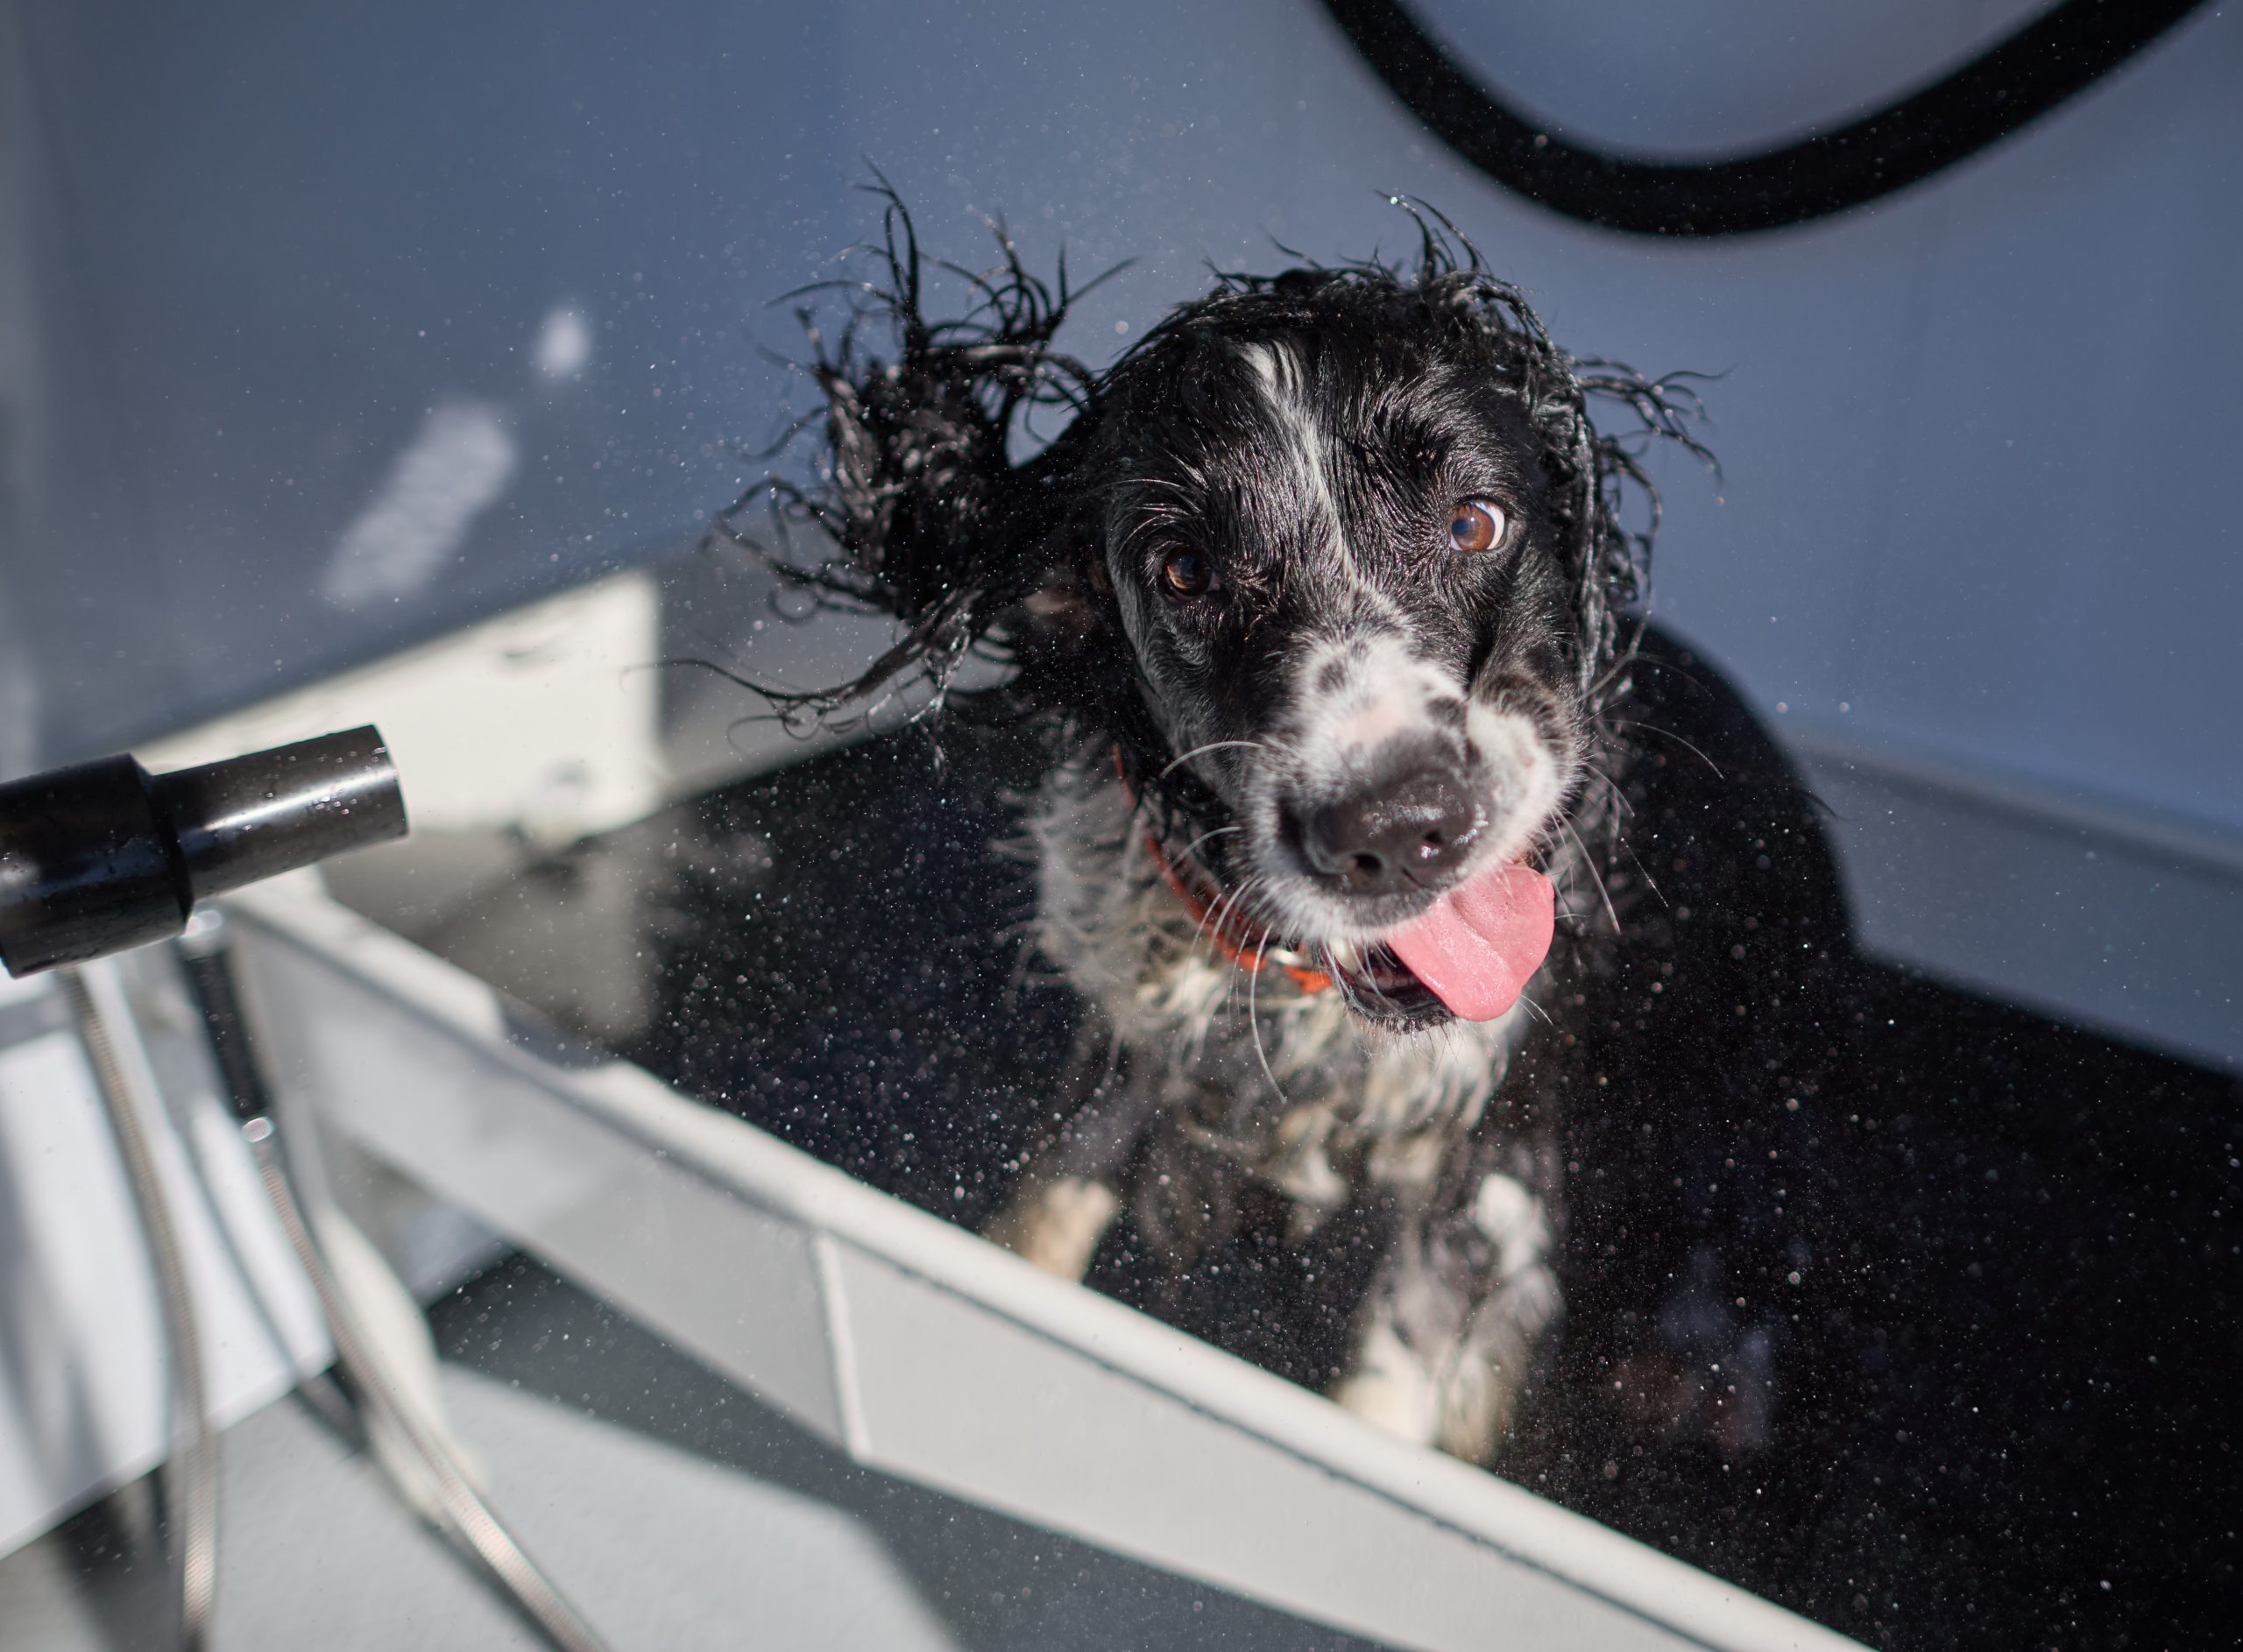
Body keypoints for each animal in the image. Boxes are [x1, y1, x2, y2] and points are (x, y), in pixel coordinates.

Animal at [718, 193, 1695, 1452]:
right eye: (1183, 570)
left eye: (1476, 522)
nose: (1399, 824)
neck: (1301, 1005)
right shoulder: (1122, 1057)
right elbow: (1040, 1221)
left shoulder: (1491, 1160)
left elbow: (1392, 1382)